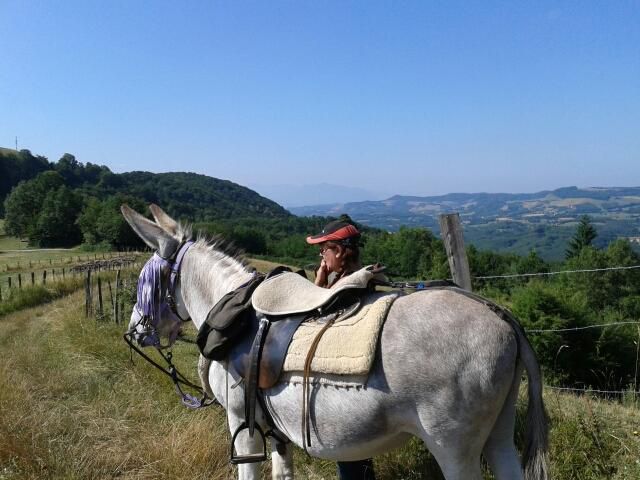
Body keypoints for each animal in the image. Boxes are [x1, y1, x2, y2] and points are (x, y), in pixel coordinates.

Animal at [122, 204, 548, 480]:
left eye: (145, 278)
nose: (135, 331)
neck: (234, 309)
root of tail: (501, 316)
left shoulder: (242, 424)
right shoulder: (277, 432)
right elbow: (283, 472)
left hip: (453, 447)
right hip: (499, 435)